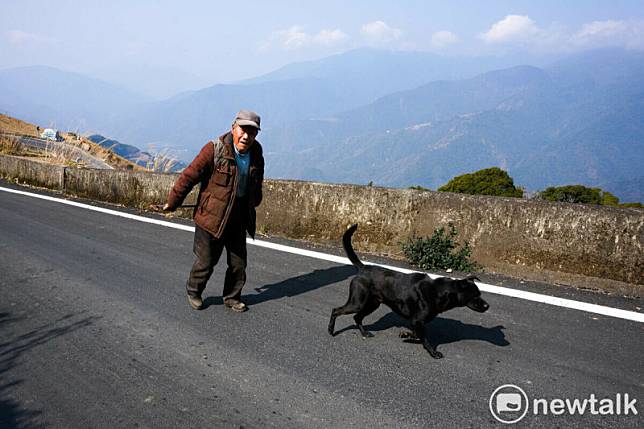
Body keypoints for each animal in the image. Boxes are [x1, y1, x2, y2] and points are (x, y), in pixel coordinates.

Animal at [328, 224, 488, 358]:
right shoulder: (417, 321)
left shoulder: (416, 322)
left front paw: (406, 334)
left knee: (357, 317)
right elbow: (423, 338)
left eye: (480, 294)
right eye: (475, 295)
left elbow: (417, 334)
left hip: (372, 304)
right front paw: (433, 352)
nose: (487, 306)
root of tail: (363, 268)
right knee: (336, 310)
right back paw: (331, 330)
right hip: (358, 302)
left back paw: (364, 333)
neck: (440, 292)